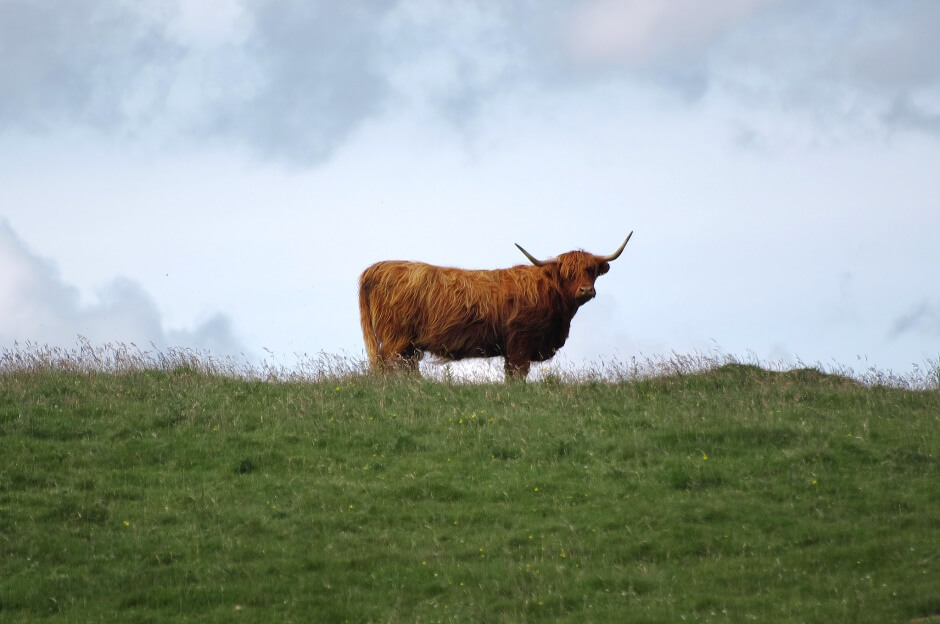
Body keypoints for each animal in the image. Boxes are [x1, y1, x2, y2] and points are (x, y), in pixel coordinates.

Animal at [358, 234, 632, 380]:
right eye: (567, 273)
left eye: (591, 270)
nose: (585, 290)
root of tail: (378, 268)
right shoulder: (519, 344)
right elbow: (516, 374)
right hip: (396, 340)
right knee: (392, 367)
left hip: (408, 345)